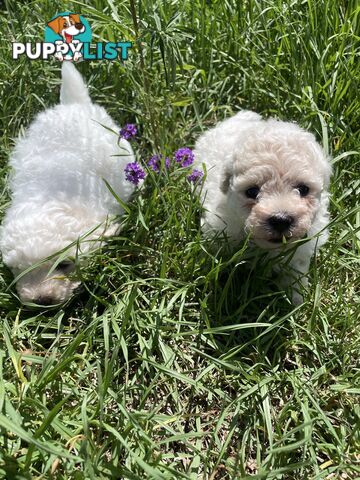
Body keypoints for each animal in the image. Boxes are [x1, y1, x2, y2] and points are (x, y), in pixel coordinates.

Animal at [194, 110, 332, 302]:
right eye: (252, 191)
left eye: (303, 189)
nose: (281, 220)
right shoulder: (220, 232)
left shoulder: (301, 249)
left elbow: (295, 272)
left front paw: (297, 299)